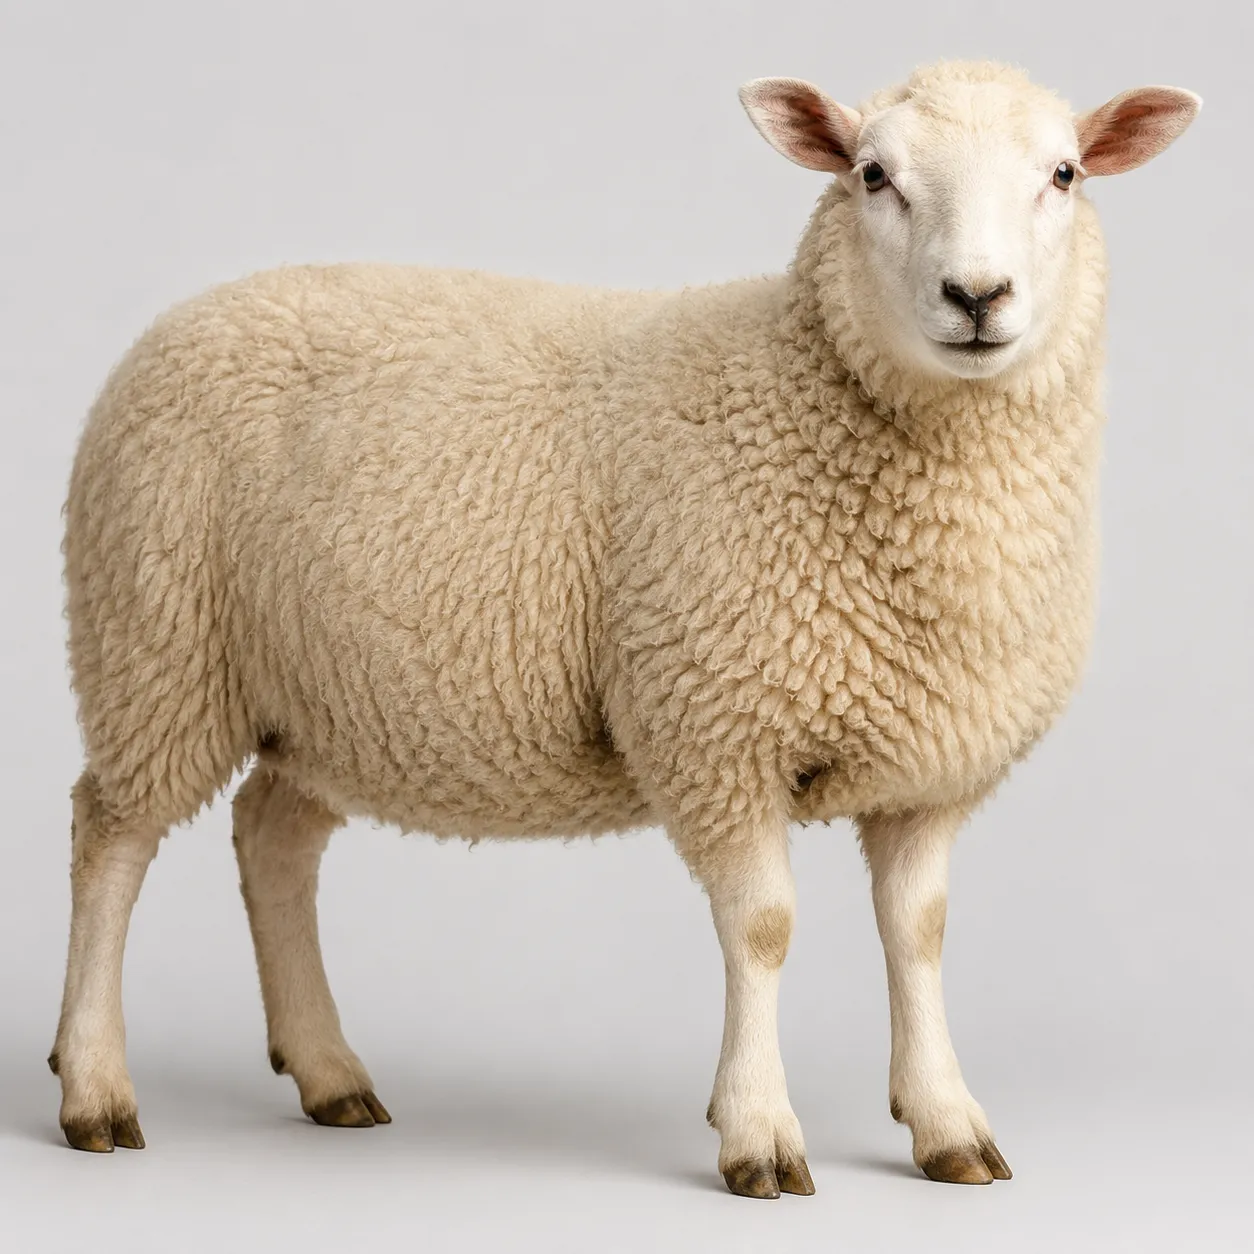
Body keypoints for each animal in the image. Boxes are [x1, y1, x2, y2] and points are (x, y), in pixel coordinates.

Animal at [50, 60, 1200, 1196]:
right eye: (874, 175)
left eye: (1064, 174)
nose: (976, 296)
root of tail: (181, 320)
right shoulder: (715, 726)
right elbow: (765, 929)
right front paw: (758, 1131)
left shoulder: (929, 766)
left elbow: (918, 936)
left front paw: (946, 1122)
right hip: (154, 640)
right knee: (111, 837)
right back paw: (93, 1083)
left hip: (324, 697)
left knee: (272, 838)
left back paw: (328, 1070)